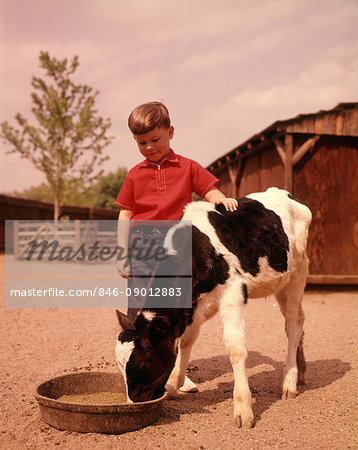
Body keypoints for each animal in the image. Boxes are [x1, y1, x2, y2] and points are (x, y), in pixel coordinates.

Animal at [116, 187, 312, 428]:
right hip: (281, 282)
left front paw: (243, 408)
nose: (133, 404)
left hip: (298, 273)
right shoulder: (193, 304)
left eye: (144, 362)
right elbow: (186, 340)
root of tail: (285, 193)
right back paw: (300, 372)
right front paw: (173, 383)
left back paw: (289, 381)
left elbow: (235, 348)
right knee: (297, 321)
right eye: (119, 366)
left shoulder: (233, 290)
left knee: (293, 324)